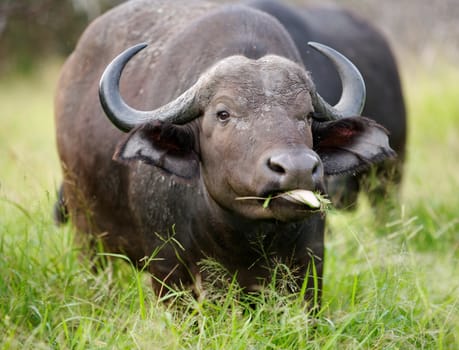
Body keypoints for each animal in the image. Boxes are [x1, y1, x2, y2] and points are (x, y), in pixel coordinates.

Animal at [54, 0, 396, 300]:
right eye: (223, 114)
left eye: (308, 115)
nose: (297, 168)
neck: (242, 237)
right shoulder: (167, 269)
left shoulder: (310, 265)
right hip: (88, 237)